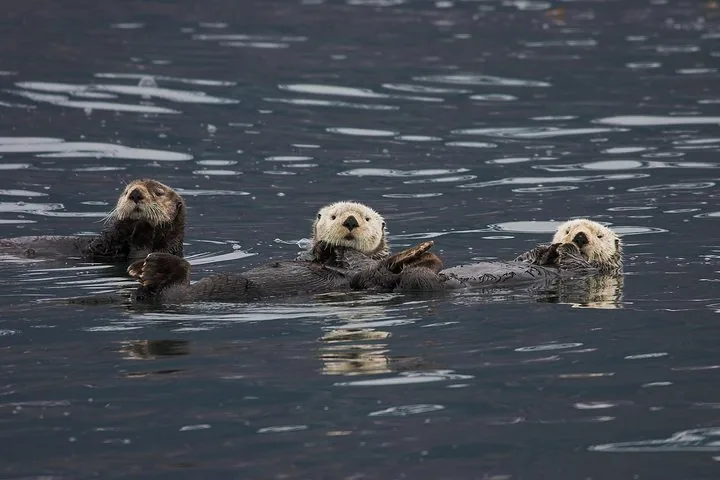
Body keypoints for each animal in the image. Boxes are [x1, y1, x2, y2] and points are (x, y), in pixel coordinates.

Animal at [128, 201, 440, 304]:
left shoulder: (362, 265)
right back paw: (145, 269)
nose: (351, 221)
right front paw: (323, 247)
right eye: (335, 216)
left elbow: (359, 267)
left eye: (365, 218)